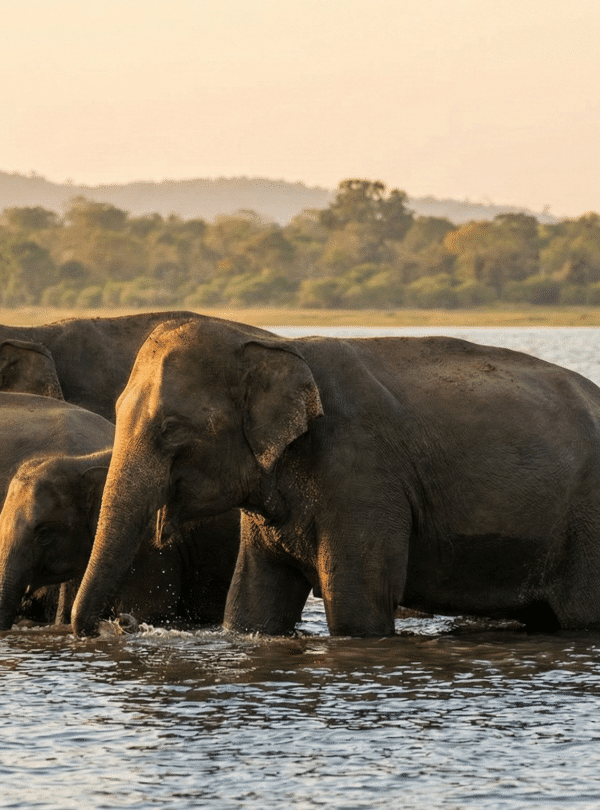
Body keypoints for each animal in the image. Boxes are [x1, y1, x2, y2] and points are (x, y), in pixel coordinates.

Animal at [71, 315, 600, 638]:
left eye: (172, 429)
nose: (117, 625)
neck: (277, 346)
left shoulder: (363, 475)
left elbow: (358, 605)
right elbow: (252, 604)